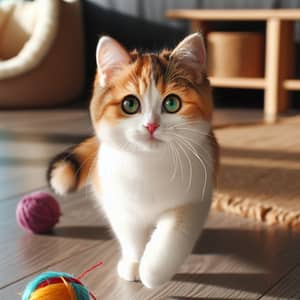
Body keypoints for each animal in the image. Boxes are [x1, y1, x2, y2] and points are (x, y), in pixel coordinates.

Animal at [48, 32, 219, 288]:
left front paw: (153, 270)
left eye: (172, 103)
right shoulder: (119, 203)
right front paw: (135, 263)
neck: (148, 164)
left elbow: (174, 234)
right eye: (130, 104)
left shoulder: (195, 196)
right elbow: (131, 236)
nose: (151, 126)